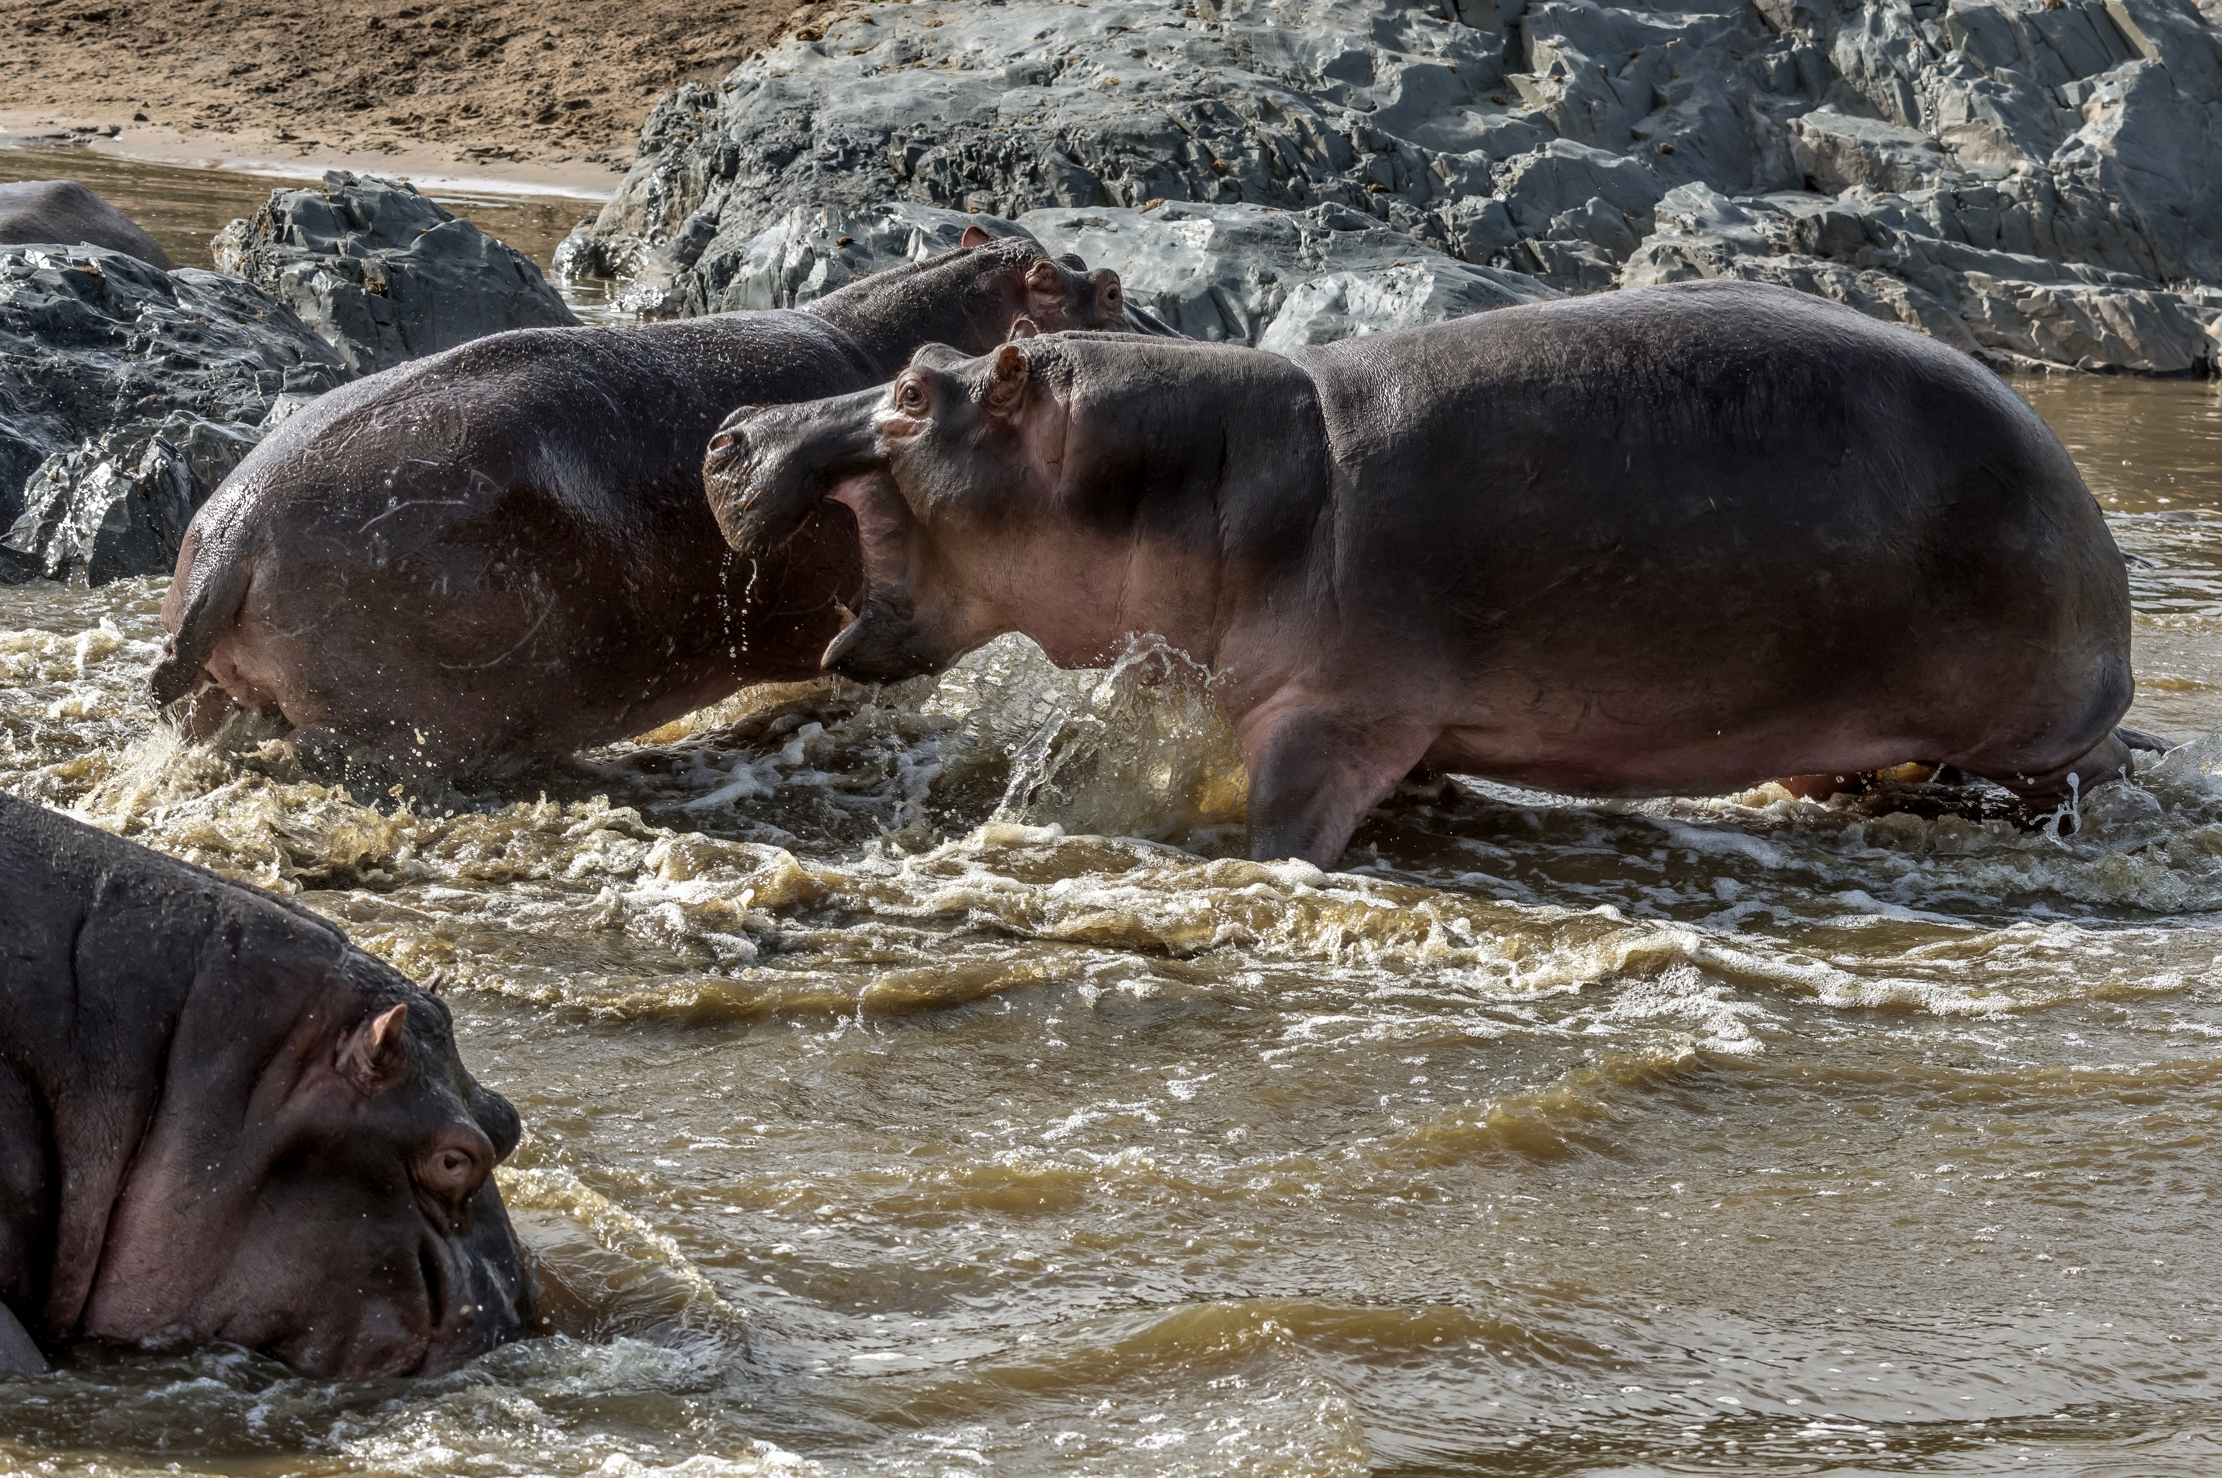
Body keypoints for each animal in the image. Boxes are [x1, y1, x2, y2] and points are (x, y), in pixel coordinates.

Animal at [707, 280, 2151, 868]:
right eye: (925, 354)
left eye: (911, 393)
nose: (729, 433)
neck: (1216, 466)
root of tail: (2084, 504)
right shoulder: (1401, 723)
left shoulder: (1333, 715)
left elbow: (1284, 829)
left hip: (2035, 726)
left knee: (2082, 771)